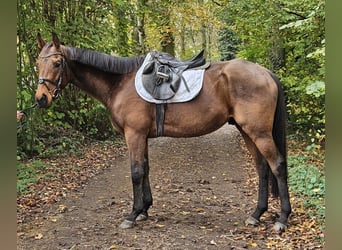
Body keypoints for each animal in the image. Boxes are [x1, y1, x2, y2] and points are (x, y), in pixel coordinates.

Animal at [34, 32, 292, 231]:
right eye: (37, 63)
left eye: (57, 63)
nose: (41, 99)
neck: (120, 82)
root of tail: (265, 73)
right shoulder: (142, 136)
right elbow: (145, 169)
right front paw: (144, 210)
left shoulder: (134, 134)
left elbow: (136, 172)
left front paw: (132, 215)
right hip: (246, 131)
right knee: (262, 168)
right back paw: (256, 214)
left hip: (259, 132)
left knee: (277, 165)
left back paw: (282, 219)